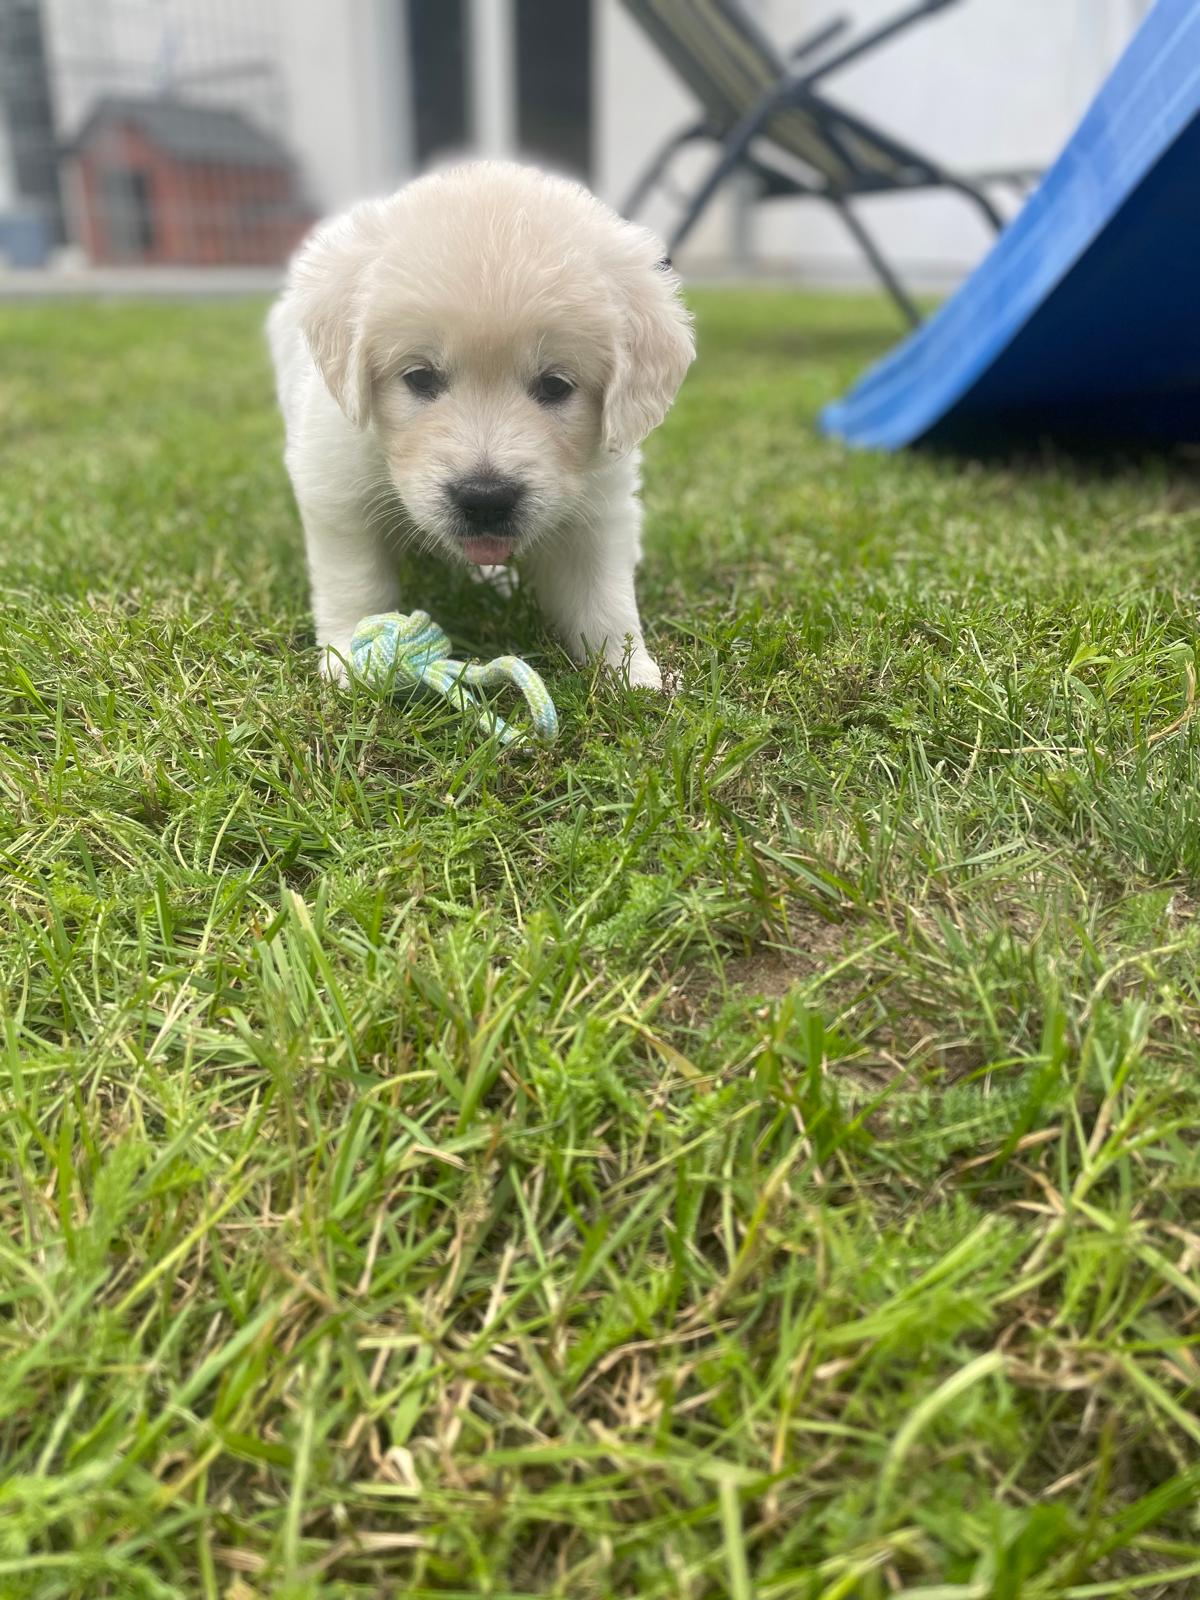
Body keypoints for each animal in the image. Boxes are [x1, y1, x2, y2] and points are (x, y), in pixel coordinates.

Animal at [267, 159, 691, 691]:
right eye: (420, 377)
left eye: (555, 386)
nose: (485, 499)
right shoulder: (336, 485)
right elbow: (355, 579)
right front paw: (350, 656)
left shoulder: (598, 504)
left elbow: (603, 597)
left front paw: (629, 673)